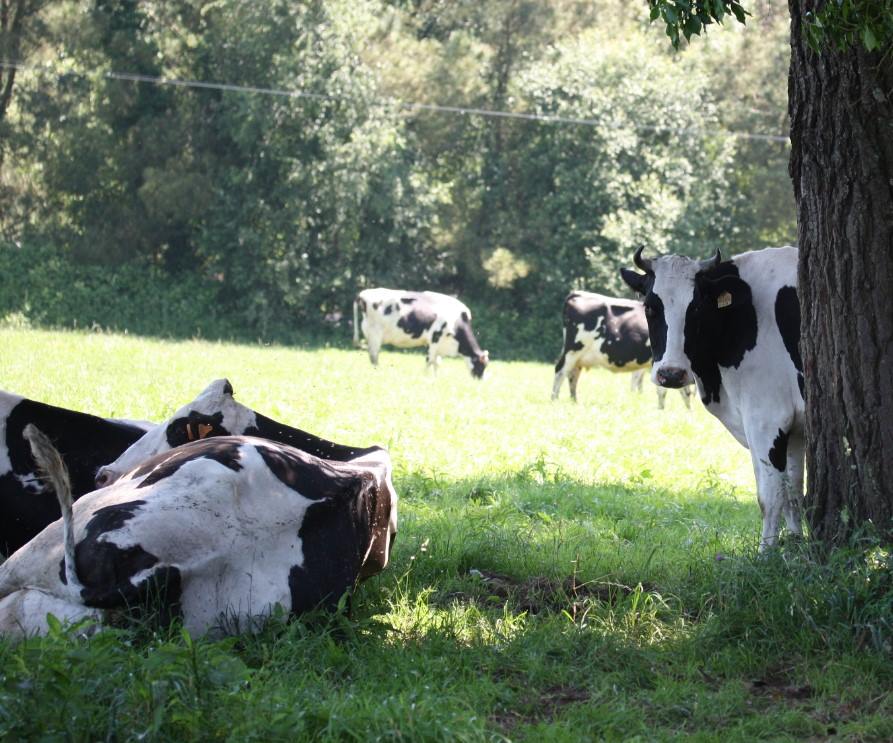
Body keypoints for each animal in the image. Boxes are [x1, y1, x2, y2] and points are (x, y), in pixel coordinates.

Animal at [353, 288, 489, 378]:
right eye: (481, 365)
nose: (480, 380)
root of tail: (363, 294)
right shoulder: (435, 338)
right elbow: (430, 360)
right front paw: (425, 376)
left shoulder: (440, 345)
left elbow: (437, 362)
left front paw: (436, 378)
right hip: (375, 334)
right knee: (374, 357)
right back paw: (378, 372)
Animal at [552, 291, 692, 409]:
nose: (690, 410)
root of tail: (577, 294)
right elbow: (661, 389)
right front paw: (661, 409)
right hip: (573, 350)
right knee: (560, 371)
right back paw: (555, 400)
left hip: (579, 357)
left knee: (572, 375)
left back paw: (574, 401)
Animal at [620, 245, 804, 549]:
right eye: (650, 307)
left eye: (696, 308)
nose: (671, 374)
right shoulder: (796, 430)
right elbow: (794, 494)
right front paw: (795, 543)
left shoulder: (767, 419)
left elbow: (770, 496)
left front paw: (767, 553)